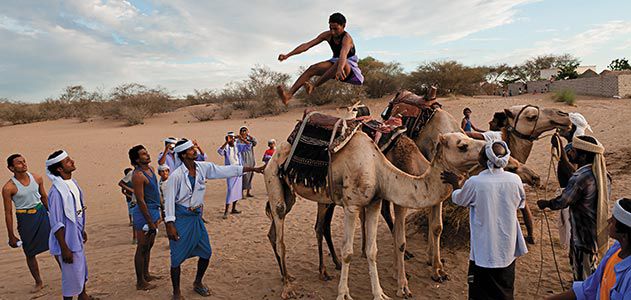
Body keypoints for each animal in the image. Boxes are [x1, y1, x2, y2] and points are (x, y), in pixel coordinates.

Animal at [264, 131, 486, 300]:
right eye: (462, 145)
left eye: (466, 137)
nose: (487, 149)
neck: (377, 168)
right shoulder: (352, 205)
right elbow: (348, 252)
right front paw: (344, 294)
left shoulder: (374, 203)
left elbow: (372, 251)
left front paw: (380, 294)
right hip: (273, 179)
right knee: (282, 235)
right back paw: (288, 288)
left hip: (293, 194)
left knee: (275, 233)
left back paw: (291, 276)